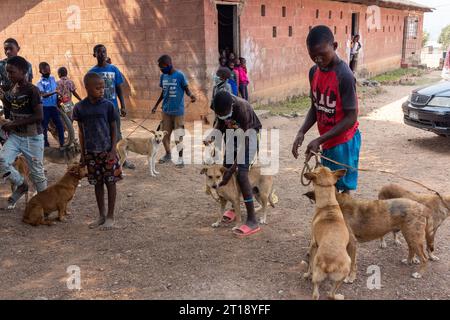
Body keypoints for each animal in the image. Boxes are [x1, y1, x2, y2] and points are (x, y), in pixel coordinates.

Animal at [302, 168, 352, 300]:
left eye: (317, 169)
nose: (318, 164)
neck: (328, 205)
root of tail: (330, 264)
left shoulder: (313, 244)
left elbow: (309, 266)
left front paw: (307, 274)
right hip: (342, 275)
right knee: (330, 294)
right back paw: (338, 296)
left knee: (316, 293)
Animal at [302, 184, 432, 282]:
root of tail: (423, 207)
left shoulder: (352, 243)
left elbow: (352, 263)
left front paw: (351, 278)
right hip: (410, 235)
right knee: (411, 249)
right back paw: (408, 261)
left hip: (413, 237)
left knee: (424, 258)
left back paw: (419, 274)